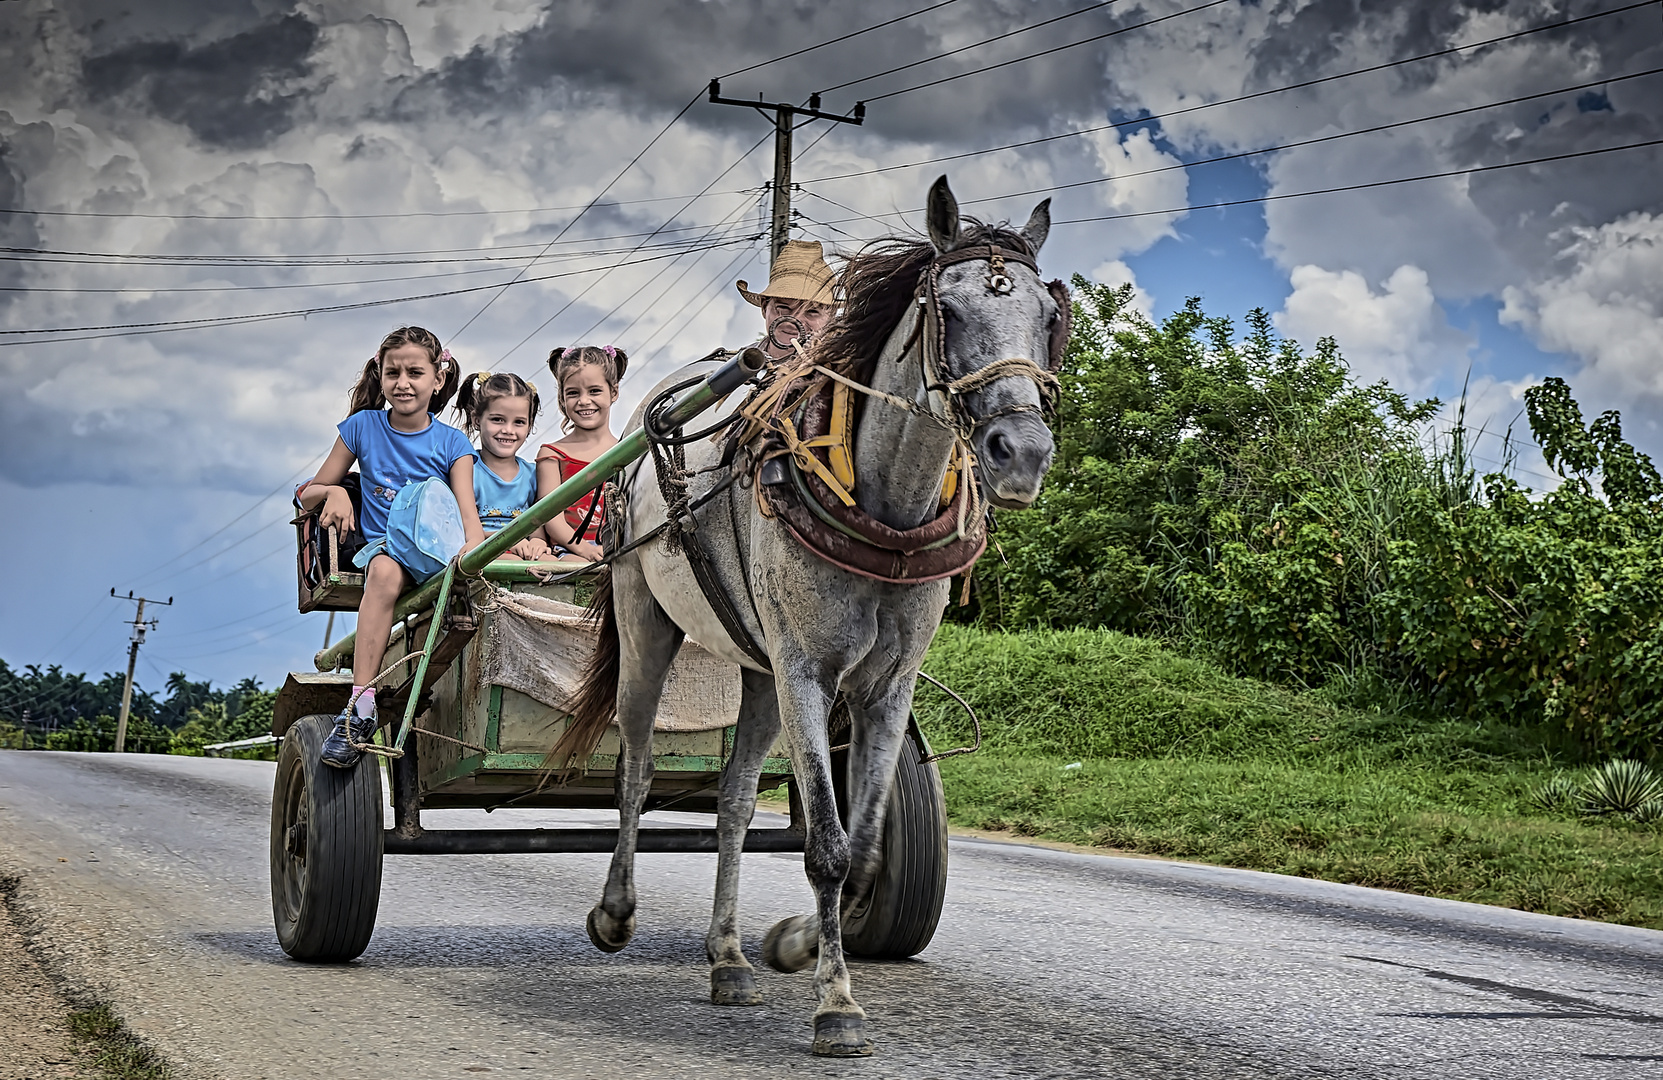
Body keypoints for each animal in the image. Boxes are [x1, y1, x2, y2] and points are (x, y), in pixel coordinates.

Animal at [558, 177, 1051, 1051]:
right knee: (636, 768)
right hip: (649, 620)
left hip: (758, 668)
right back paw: (615, 912)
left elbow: (862, 845)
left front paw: (793, 942)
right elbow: (823, 844)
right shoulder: (808, 673)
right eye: (948, 310)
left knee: (732, 798)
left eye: (1051, 315)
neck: (885, 509)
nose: (1020, 454)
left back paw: (726, 958)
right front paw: (836, 1005)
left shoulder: (885, 687)